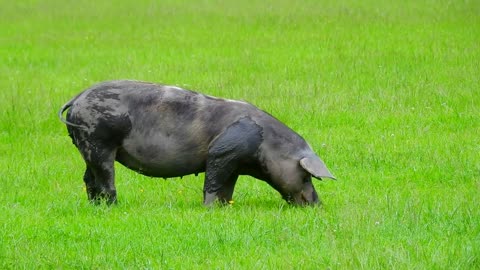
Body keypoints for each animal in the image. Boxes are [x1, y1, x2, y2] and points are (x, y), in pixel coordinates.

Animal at [58, 81, 336, 206]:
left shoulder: (235, 162)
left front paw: (225, 207)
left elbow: (228, 187)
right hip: (99, 140)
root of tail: (78, 98)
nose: (318, 205)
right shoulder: (222, 152)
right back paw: (113, 206)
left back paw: (94, 205)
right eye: (306, 175)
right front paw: (210, 208)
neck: (266, 146)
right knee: (105, 177)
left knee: (88, 177)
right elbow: (213, 180)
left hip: (86, 146)